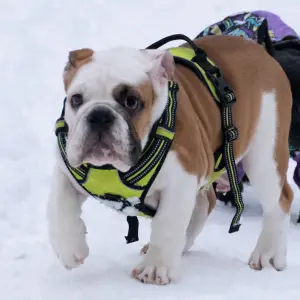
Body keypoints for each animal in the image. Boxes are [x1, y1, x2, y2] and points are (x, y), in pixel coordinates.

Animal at [47, 35, 292, 284]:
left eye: (132, 101)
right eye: (76, 99)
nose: (99, 115)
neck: (113, 169)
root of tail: (260, 51)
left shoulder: (181, 180)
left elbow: (167, 223)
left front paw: (155, 268)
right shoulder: (65, 169)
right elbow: (58, 207)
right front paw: (70, 249)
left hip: (264, 157)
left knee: (279, 200)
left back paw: (268, 254)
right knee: (206, 203)